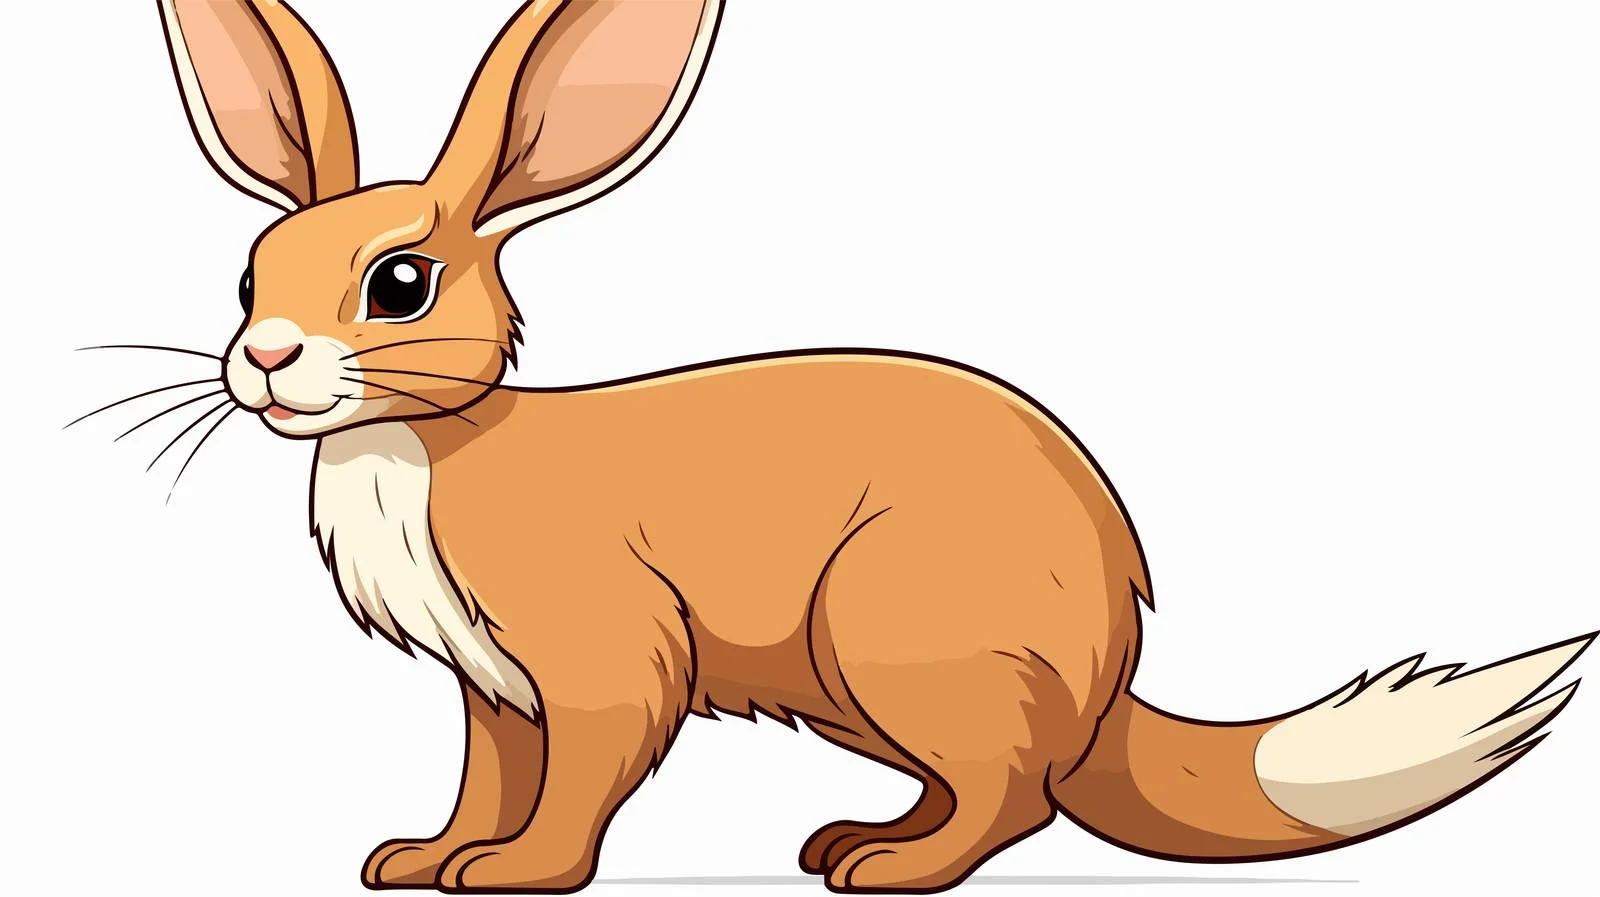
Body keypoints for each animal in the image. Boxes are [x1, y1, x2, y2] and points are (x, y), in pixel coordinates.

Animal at [150, 1, 1591, 893]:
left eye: (400, 284)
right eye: (246, 277)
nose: (265, 359)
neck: (432, 447)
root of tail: (1111, 667)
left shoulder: (597, 655)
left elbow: (583, 779)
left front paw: (516, 877)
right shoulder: (494, 687)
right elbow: (486, 779)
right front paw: (422, 859)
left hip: (892, 634)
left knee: (1014, 795)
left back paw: (891, 870)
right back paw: (855, 838)